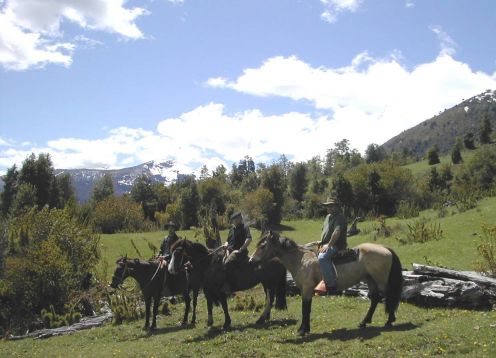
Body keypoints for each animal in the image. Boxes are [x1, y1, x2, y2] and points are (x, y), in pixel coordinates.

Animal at [252, 232, 404, 336]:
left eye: (263, 246)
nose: (251, 260)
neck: (301, 260)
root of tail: (385, 248)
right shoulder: (306, 289)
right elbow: (307, 309)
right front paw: (305, 329)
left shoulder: (307, 289)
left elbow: (305, 309)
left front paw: (302, 330)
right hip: (370, 279)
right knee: (375, 299)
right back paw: (364, 322)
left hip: (381, 281)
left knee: (389, 297)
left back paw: (389, 321)